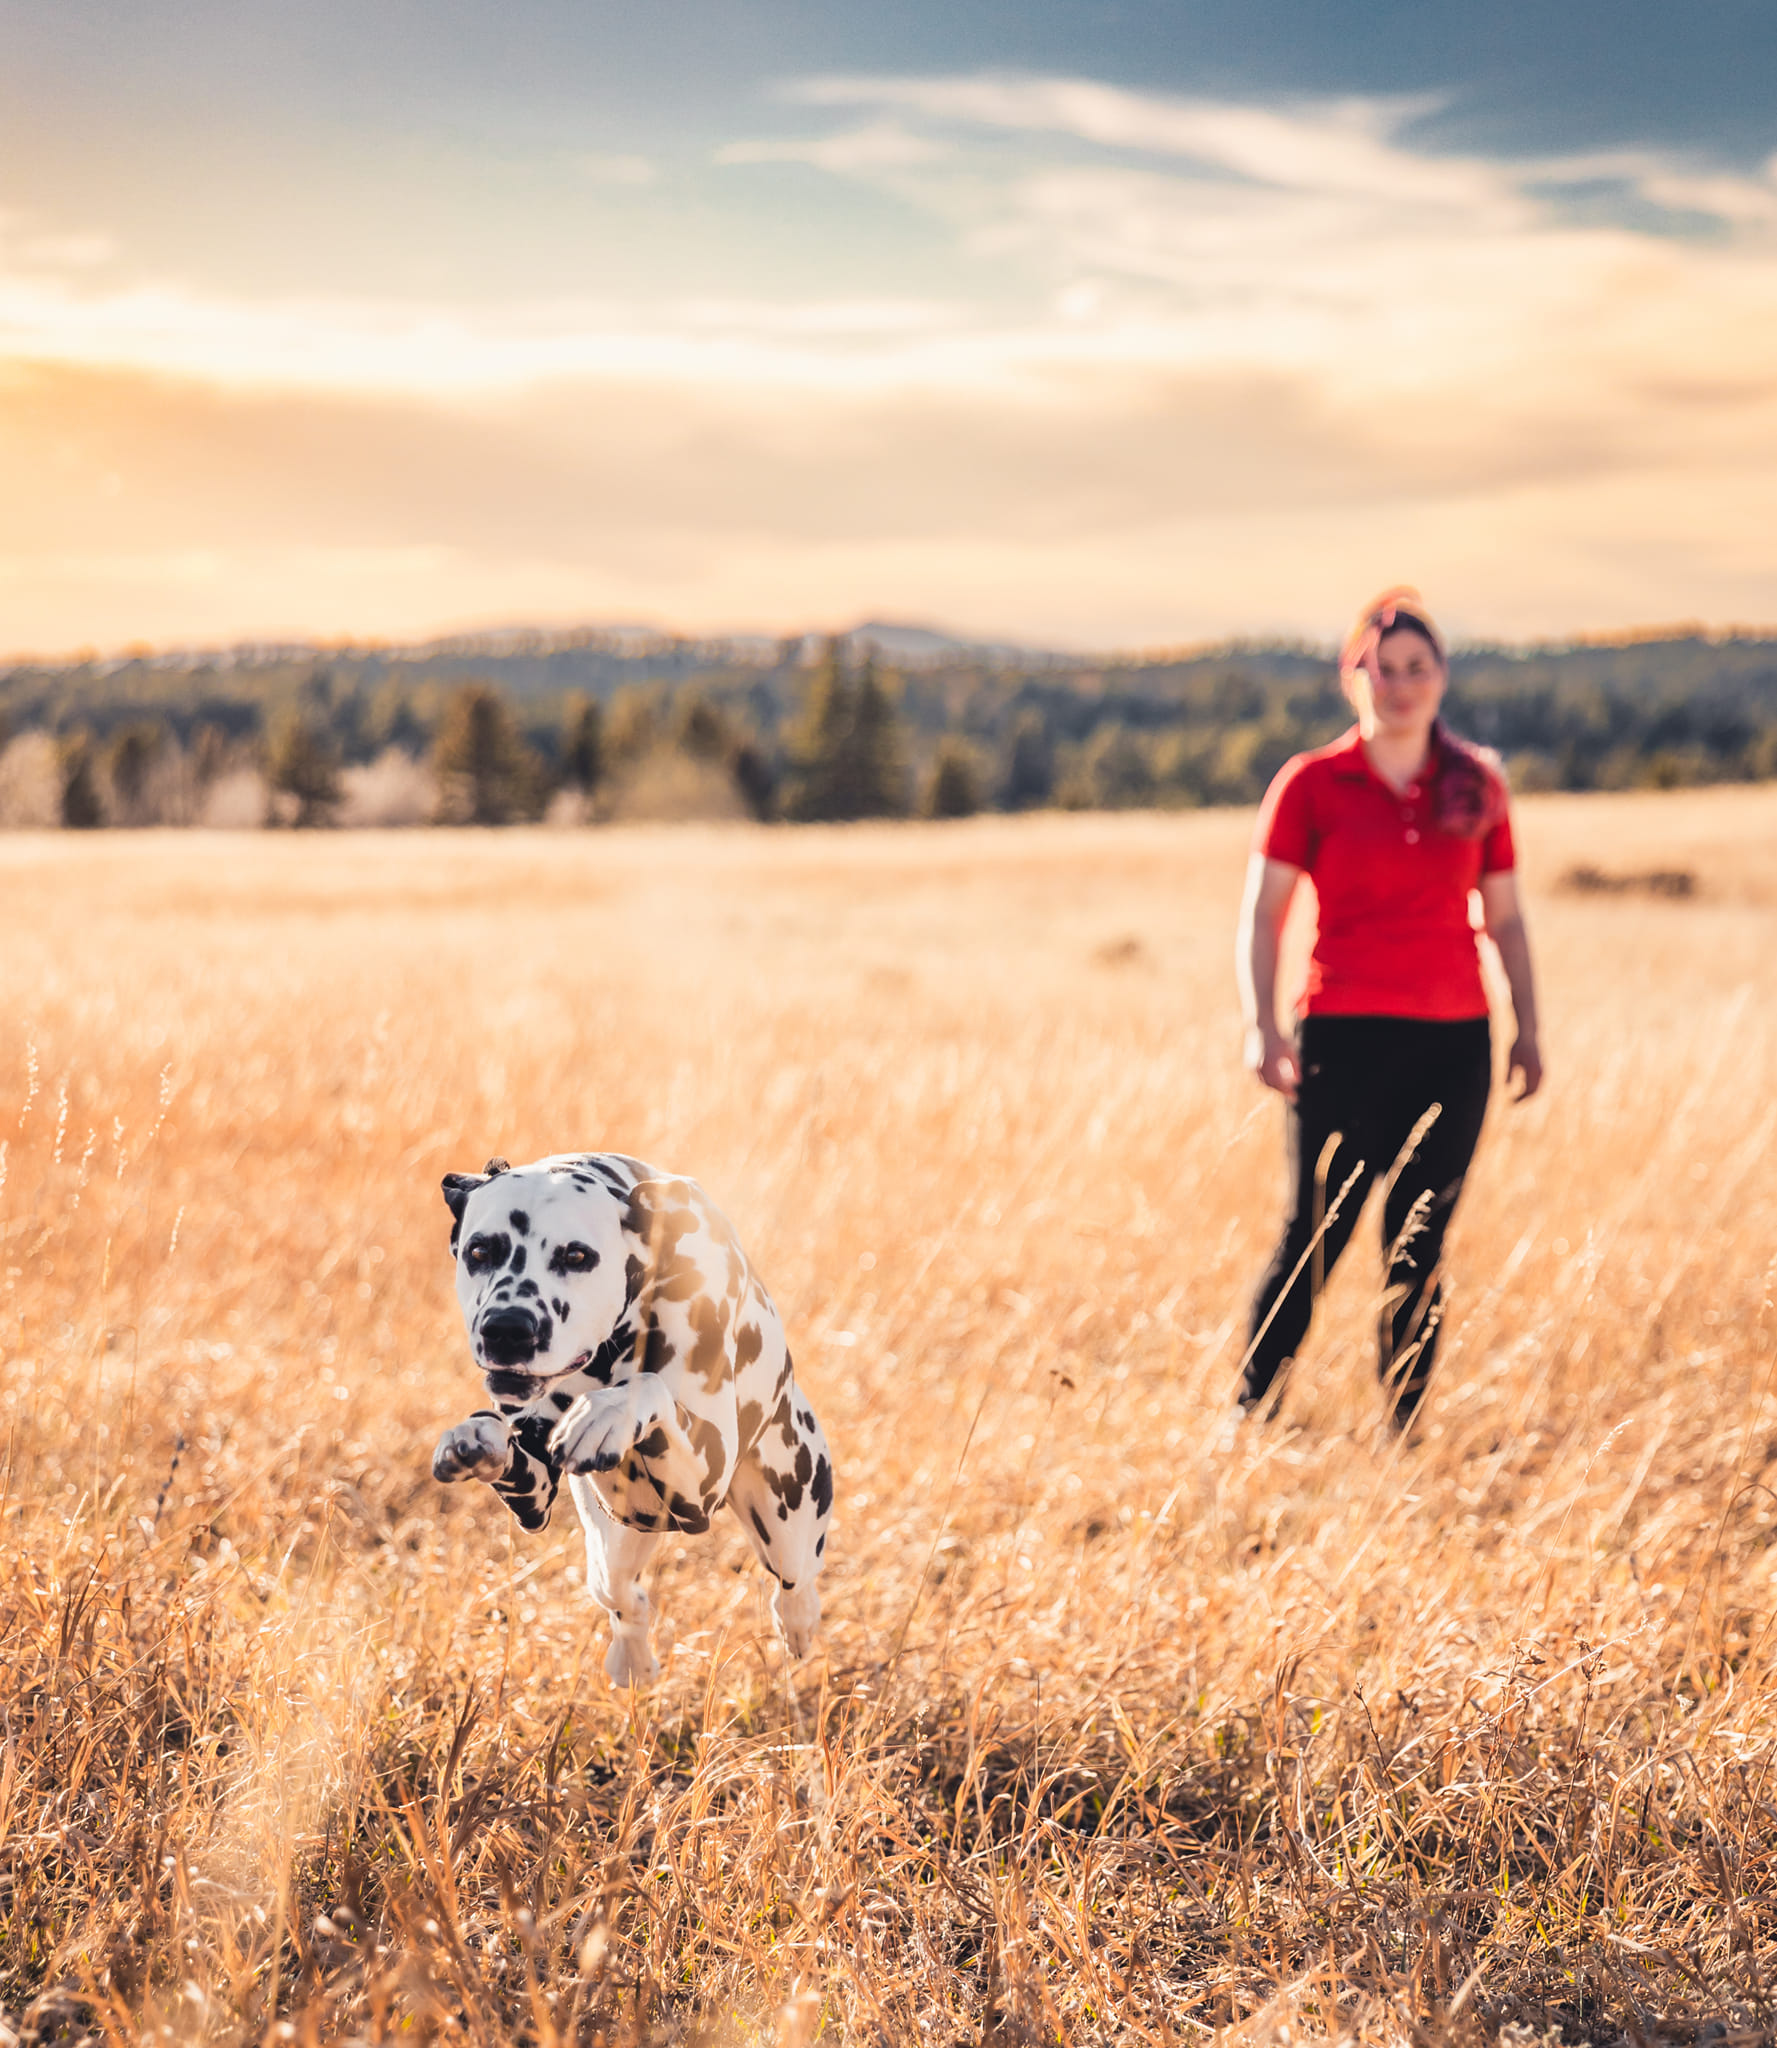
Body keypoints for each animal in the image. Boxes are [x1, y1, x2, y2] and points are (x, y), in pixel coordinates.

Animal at [429, 1155, 831, 1679]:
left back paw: (798, 1626)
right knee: (623, 1596)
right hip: (613, 1544)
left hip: (787, 1511)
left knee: (795, 1582)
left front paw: (609, 1411)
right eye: (479, 1251)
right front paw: (477, 1437)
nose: (508, 1329)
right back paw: (633, 1660)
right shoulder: (534, 1493)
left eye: (577, 1256)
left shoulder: (706, 1479)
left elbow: (648, 1386)